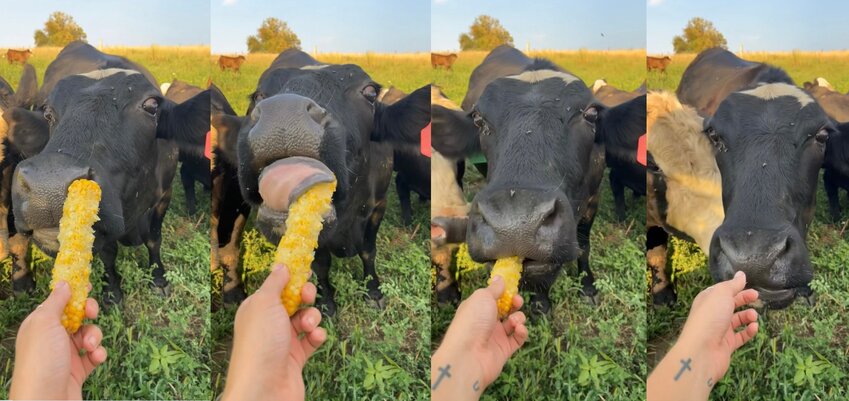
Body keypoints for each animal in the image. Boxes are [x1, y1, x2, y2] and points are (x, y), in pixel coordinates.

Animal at [432, 45, 645, 313]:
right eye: (479, 120)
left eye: (591, 114)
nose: (515, 227)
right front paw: (541, 302)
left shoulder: (593, 200)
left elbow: (584, 246)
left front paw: (587, 286)